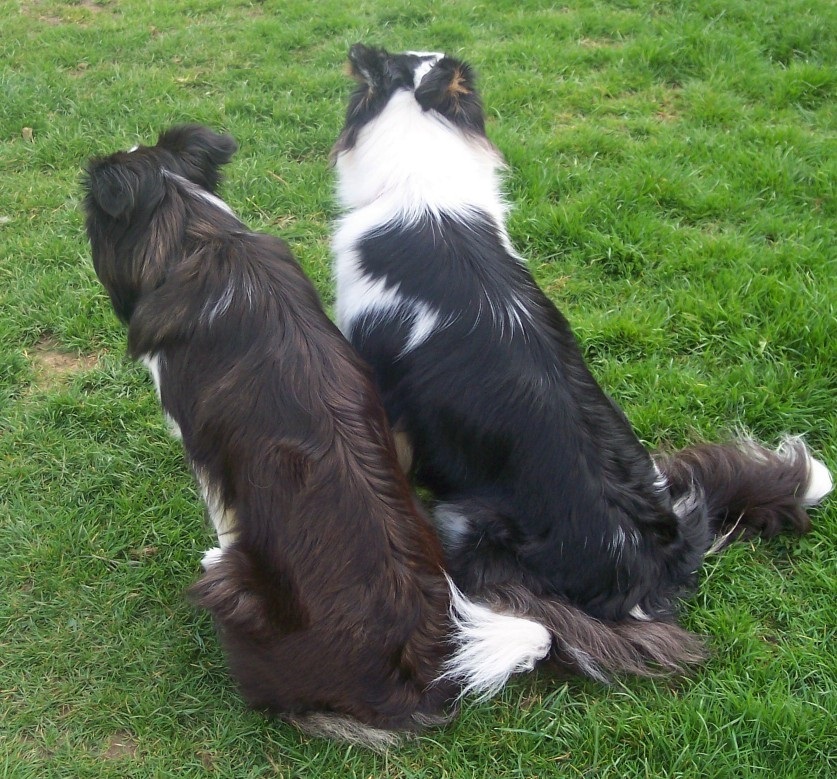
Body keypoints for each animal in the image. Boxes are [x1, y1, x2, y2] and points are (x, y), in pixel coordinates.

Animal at [81, 125, 552, 748]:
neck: (197, 234)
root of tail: (418, 672)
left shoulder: (203, 450)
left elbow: (224, 518)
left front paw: (213, 548)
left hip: (240, 596)